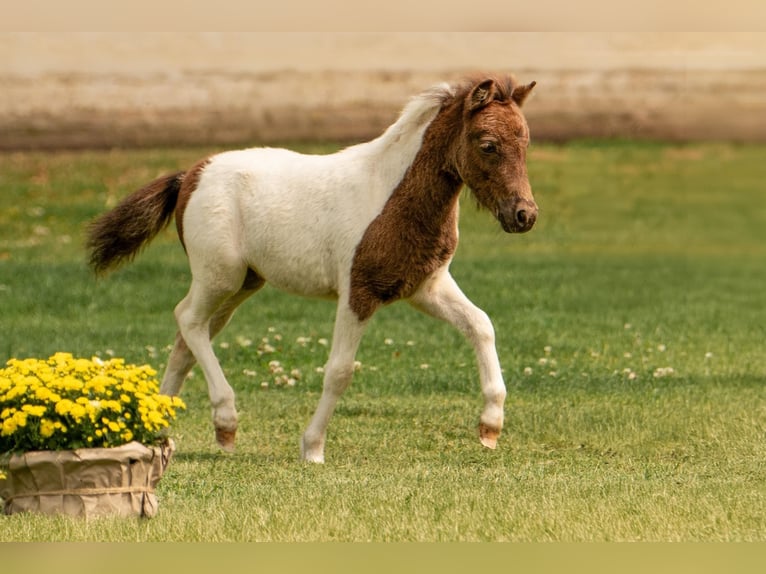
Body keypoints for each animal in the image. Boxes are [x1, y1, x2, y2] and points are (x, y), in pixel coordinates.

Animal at [87, 75, 536, 464]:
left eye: (525, 142)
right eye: (488, 145)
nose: (524, 215)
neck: (391, 196)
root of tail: (190, 176)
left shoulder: (426, 287)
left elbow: (481, 325)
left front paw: (490, 427)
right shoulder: (359, 291)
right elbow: (339, 371)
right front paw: (313, 448)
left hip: (243, 284)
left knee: (187, 339)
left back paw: (159, 428)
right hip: (220, 275)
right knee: (188, 320)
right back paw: (225, 422)